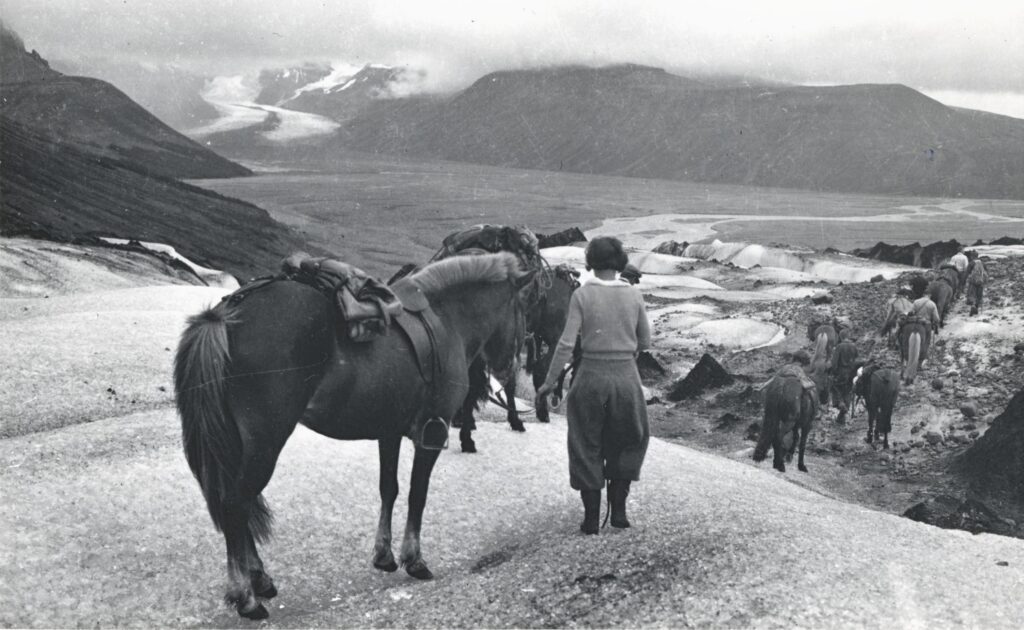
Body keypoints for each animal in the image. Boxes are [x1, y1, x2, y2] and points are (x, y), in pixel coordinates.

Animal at [174, 254, 536, 618]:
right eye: (522, 310)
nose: (509, 369)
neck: (446, 321)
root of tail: (226, 314)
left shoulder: (389, 433)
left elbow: (389, 489)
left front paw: (384, 556)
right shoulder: (431, 435)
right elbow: (417, 494)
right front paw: (414, 559)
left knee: (238, 505)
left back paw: (260, 579)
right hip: (264, 443)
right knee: (235, 504)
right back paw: (246, 596)